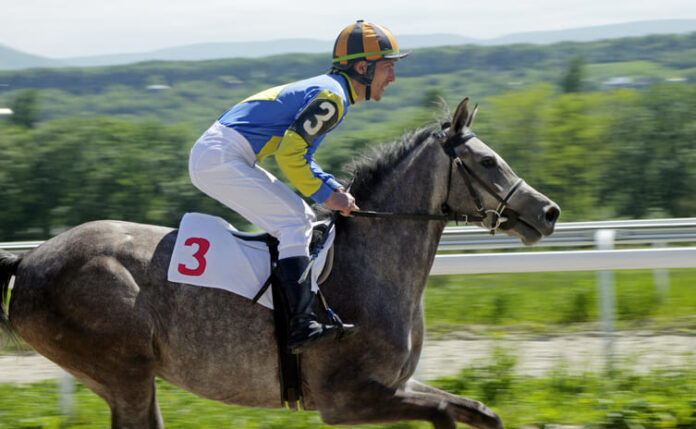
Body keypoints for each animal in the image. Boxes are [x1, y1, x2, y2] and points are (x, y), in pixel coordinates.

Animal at [0, 98, 559, 429]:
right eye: (487, 161)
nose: (548, 212)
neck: (373, 267)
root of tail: (29, 260)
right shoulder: (346, 398)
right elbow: (443, 413)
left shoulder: (396, 383)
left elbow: (480, 412)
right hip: (125, 373)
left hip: (124, 381)